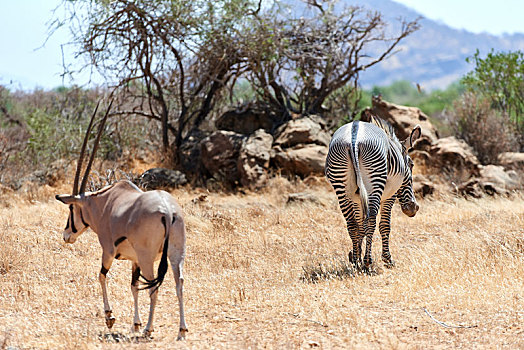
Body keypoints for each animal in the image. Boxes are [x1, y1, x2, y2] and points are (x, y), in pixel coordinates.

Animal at [56, 100, 187, 340]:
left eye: (71, 207)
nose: (66, 234)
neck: (104, 203)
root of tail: (167, 211)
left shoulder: (108, 252)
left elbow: (101, 276)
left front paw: (110, 317)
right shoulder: (134, 260)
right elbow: (133, 286)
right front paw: (134, 323)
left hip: (147, 259)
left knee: (154, 287)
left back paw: (148, 329)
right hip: (176, 255)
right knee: (178, 283)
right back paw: (181, 330)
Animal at [324, 115, 422, 268]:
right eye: (411, 165)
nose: (413, 208)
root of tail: (354, 138)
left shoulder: (357, 199)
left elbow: (360, 226)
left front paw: (355, 256)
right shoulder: (390, 195)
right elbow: (384, 225)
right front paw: (387, 259)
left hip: (342, 187)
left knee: (352, 224)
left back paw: (357, 262)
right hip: (374, 184)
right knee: (371, 222)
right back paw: (368, 262)